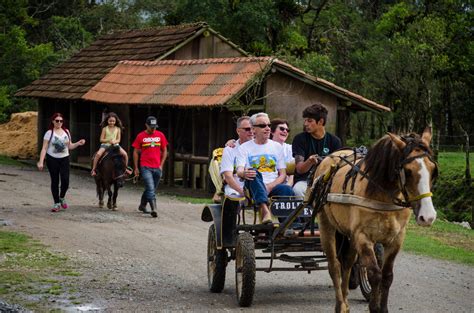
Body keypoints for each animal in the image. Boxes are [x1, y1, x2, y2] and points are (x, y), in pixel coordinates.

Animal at [312, 127, 436, 312]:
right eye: (407, 171)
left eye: (433, 169)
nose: (428, 217)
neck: (382, 195)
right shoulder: (363, 237)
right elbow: (374, 274)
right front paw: (374, 306)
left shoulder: (396, 239)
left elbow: (387, 276)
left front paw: (382, 308)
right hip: (327, 225)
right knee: (334, 266)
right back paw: (340, 305)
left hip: (349, 233)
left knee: (347, 263)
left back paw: (346, 302)